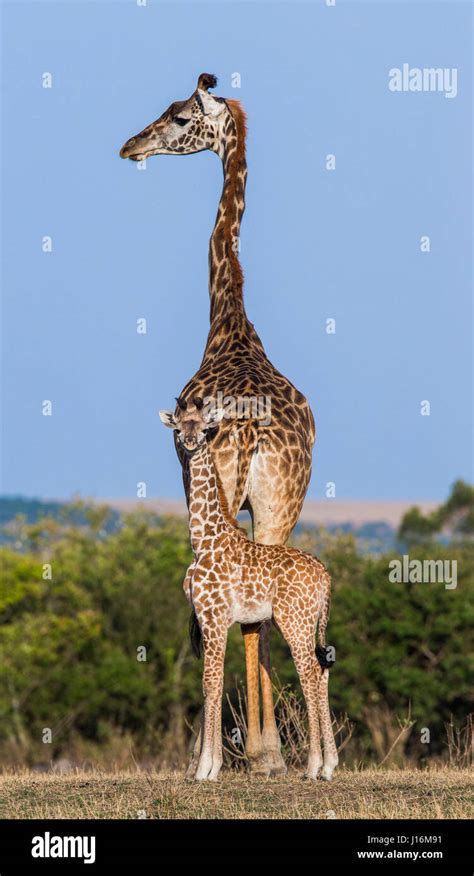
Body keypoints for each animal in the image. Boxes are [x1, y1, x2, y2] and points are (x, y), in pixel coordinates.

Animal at [120, 73, 316, 772]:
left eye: (180, 117)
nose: (131, 145)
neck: (229, 318)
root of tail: (253, 431)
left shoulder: (189, 478)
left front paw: (210, 753)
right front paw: (261, 750)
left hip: (231, 490)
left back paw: (243, 751)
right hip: (281, 502)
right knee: (266, 608)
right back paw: (273, 752)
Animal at [161, 400, 338, 784]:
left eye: (204, 428)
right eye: (178, 427)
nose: (191, 440)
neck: (204, 540)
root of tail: (325, 576)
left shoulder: (213, 617)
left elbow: (210, 683)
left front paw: (205, 769)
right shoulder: (211, 620)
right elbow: (214, 683)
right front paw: (211, 766)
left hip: (294, 621)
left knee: (310, 673)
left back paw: (315, 766)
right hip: (311, 623)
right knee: (322, 670)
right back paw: (329, 764)